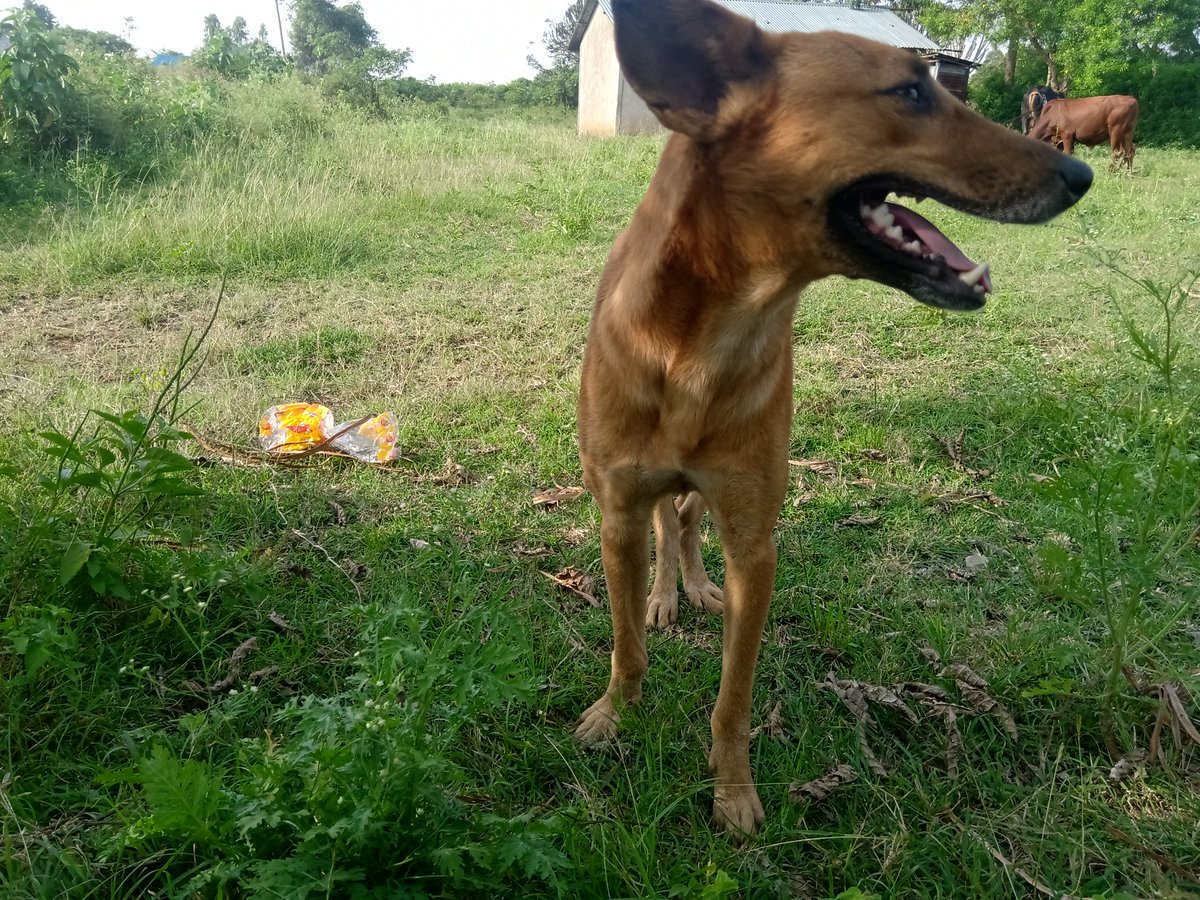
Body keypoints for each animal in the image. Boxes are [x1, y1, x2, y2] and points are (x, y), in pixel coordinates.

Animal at [576, 0, 1094, 844]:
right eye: (910, 92)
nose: (1082, 175)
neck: (700, 345)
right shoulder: (616, 512)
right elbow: (626, 645)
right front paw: (615, 713)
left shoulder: (755, 546)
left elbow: (734, 696)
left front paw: (733, 788)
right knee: (667, 523)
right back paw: (665, 595)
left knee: (686, 521)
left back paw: (691, 583)